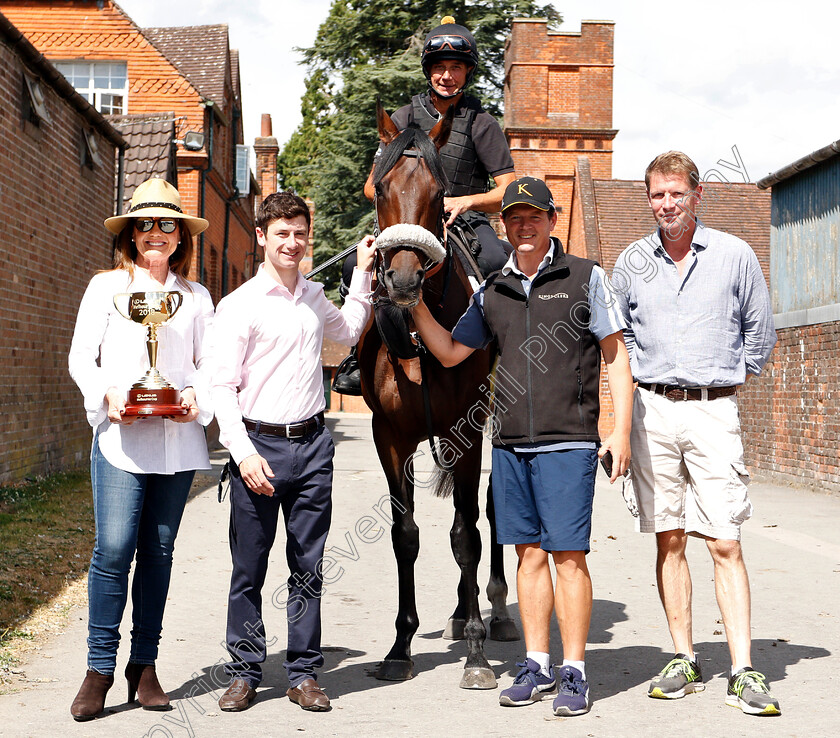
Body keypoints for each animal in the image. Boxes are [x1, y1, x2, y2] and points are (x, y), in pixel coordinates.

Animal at [356, 100, 516, 688]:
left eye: (438, 192)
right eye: (380, 188)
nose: (402, 281)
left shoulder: (464, 432)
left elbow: (467, 534)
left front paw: (475, 652)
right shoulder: (390, 436)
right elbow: (406, 535)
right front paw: (400, 646)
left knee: (489, 509)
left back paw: (492, 612)